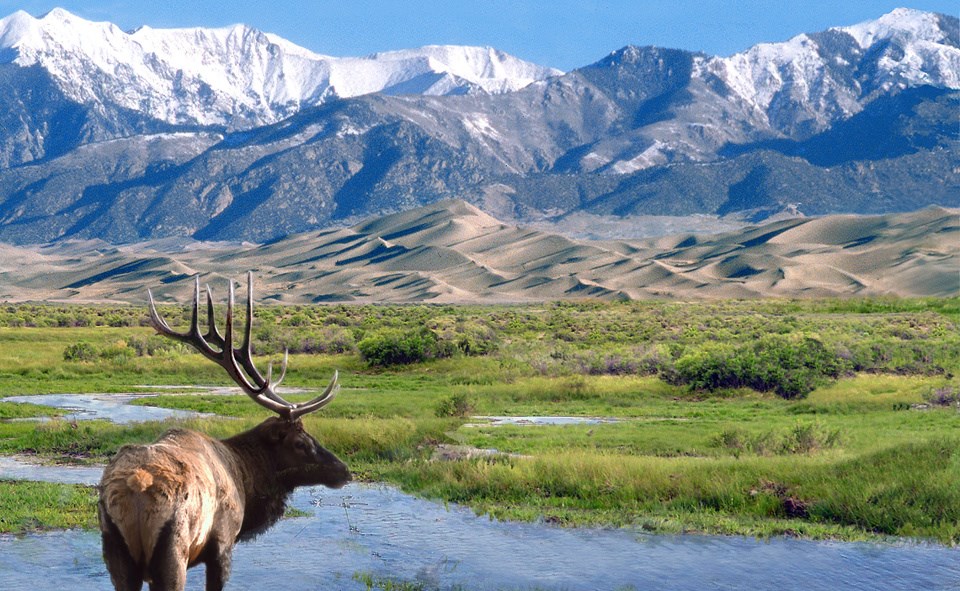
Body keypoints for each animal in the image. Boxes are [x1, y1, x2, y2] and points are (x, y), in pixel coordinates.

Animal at [97, 276, 350, 588]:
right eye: (300, 443)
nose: (344, 471)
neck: (246, 478)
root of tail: (136, 487)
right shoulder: (223, 542)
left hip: (115, 550)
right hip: (172, 551)